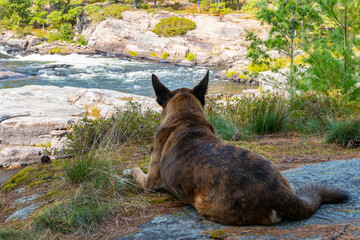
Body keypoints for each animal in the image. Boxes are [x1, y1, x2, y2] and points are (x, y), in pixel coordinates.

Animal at [122, 71, 348, 225]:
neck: (187, 119)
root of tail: (283, 194)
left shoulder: (150, 182)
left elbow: (135, 170)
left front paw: (126, 172)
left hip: (204, 204)